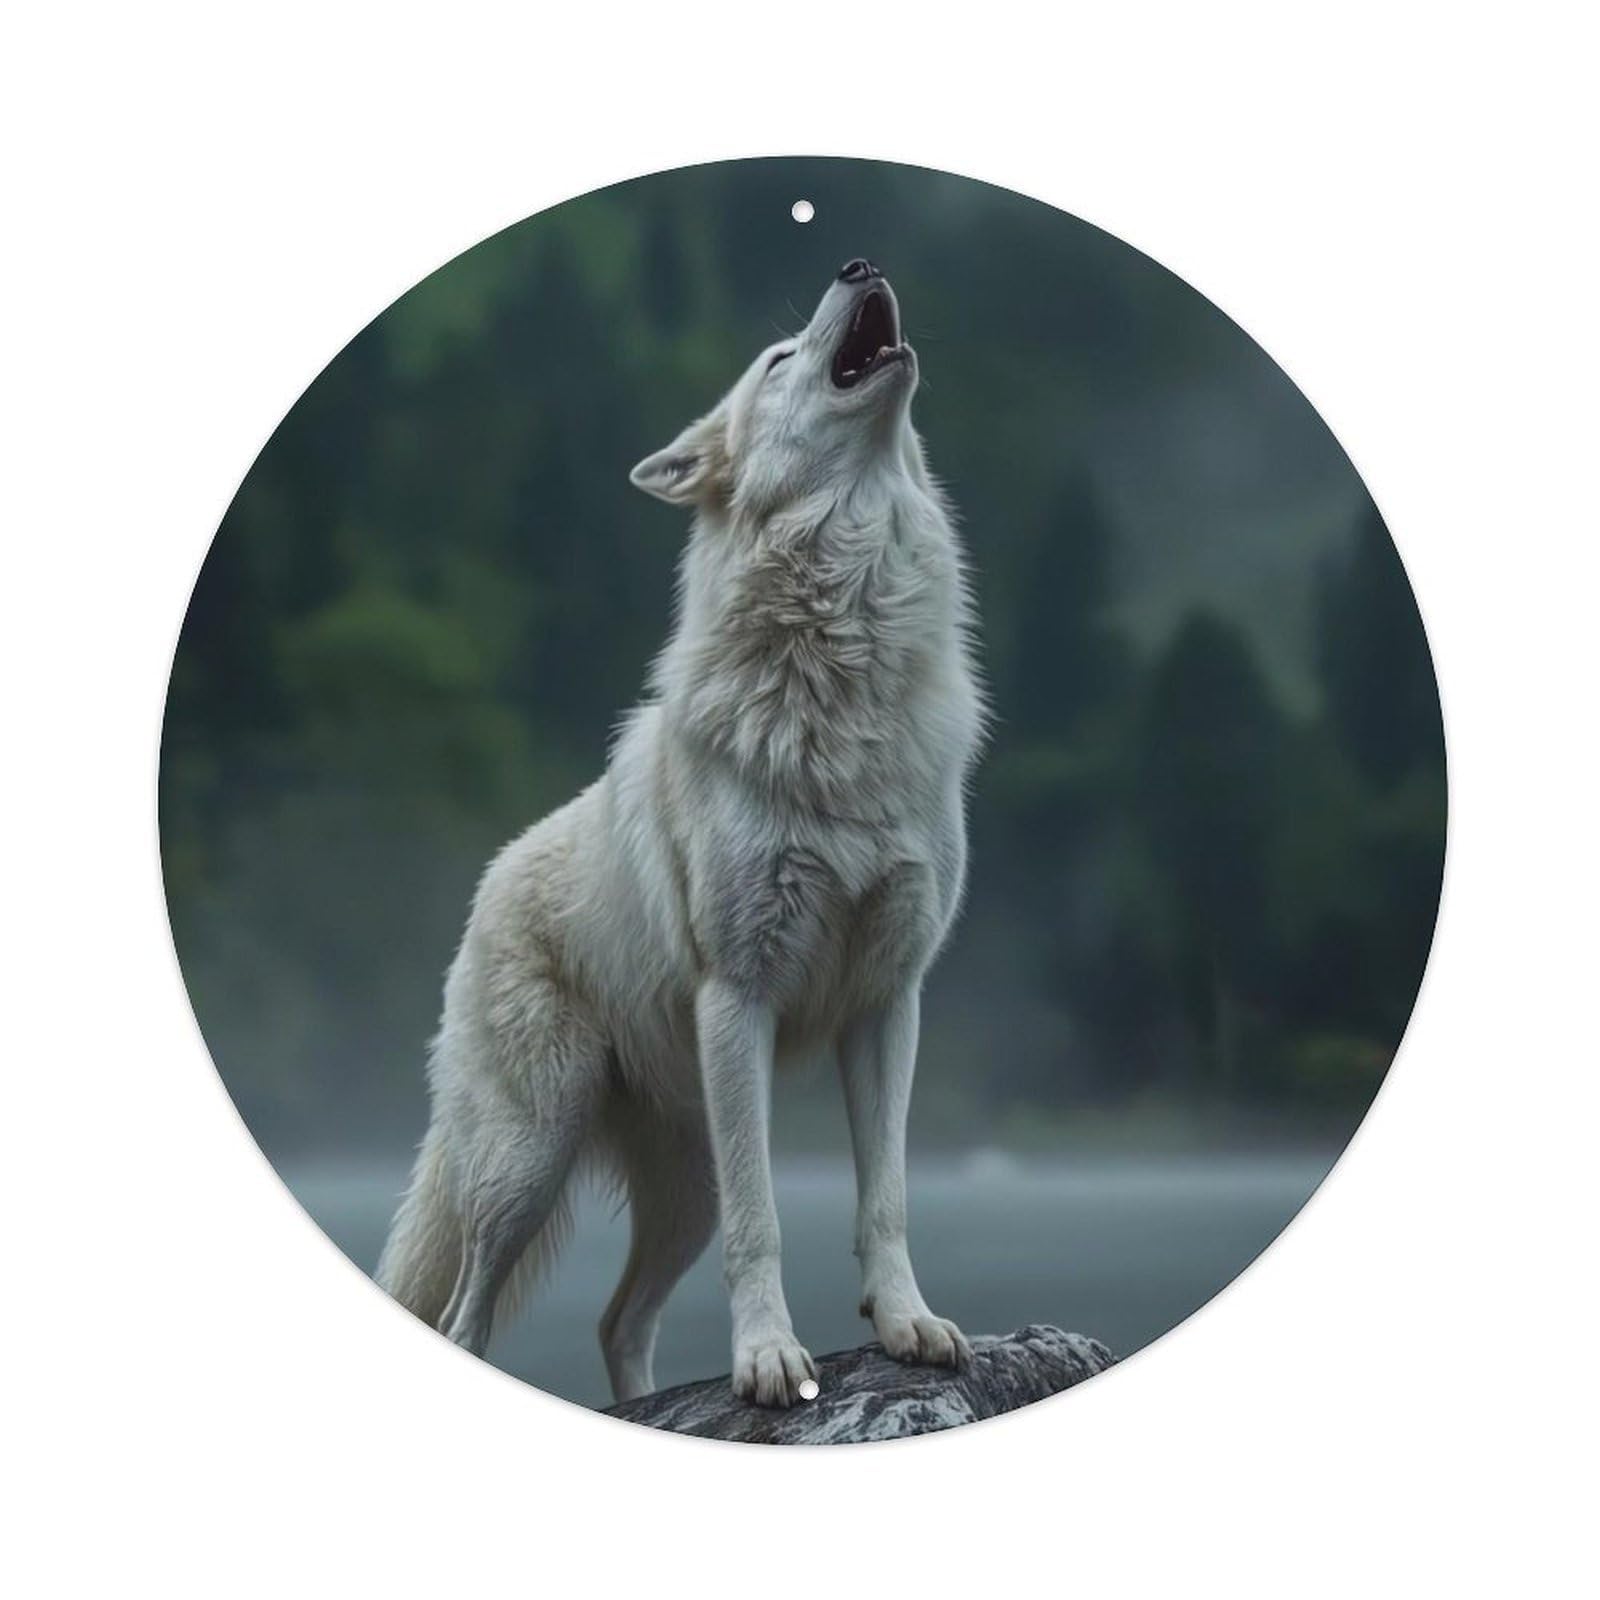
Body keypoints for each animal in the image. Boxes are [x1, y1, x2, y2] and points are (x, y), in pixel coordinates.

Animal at [376, 258, 985, 1408]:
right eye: (777, 358)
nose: (858, 265)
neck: (842, 662)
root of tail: (489, 879)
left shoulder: (890, 1001)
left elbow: (883, 1197)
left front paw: (908, 1323)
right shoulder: (738, 993)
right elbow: (768, 1224)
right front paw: (768, 1360)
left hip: (679, 1185)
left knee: (618, 1320)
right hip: (529, 1159)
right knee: (463, 1317)